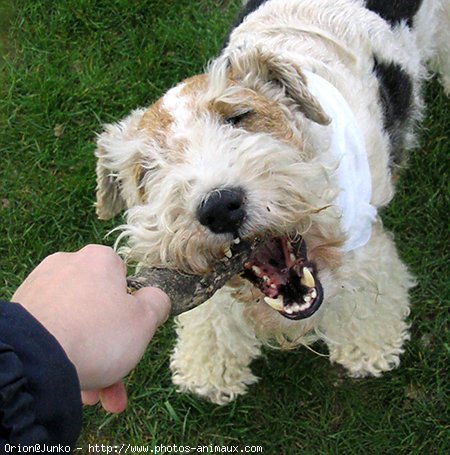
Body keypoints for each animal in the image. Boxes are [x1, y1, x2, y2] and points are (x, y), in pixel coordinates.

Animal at [93, 0, 448, 406]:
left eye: (238, 116)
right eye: (145, 170)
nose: (219, 207)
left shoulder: (359, 234)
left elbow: (370, 291)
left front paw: (368, 347)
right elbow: (214, 308)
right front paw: (210, 369)